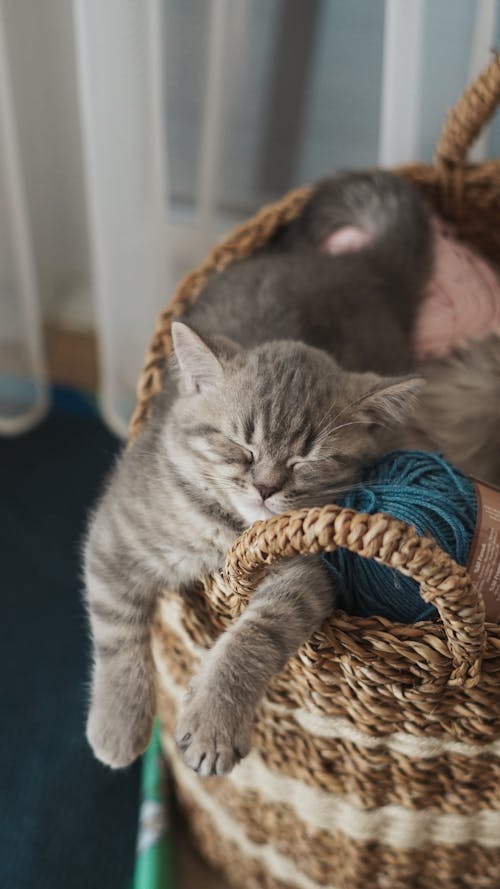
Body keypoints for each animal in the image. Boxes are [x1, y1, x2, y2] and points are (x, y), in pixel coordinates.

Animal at [84, 170, 436, 772]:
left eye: (307, 459)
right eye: (240, 446)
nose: (267, 487)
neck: (223, 527)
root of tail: (359, 267)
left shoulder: (310, 569)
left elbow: (261, 632)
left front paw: (214, 719)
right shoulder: (115, 536)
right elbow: (118, 631)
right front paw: (120, 721)